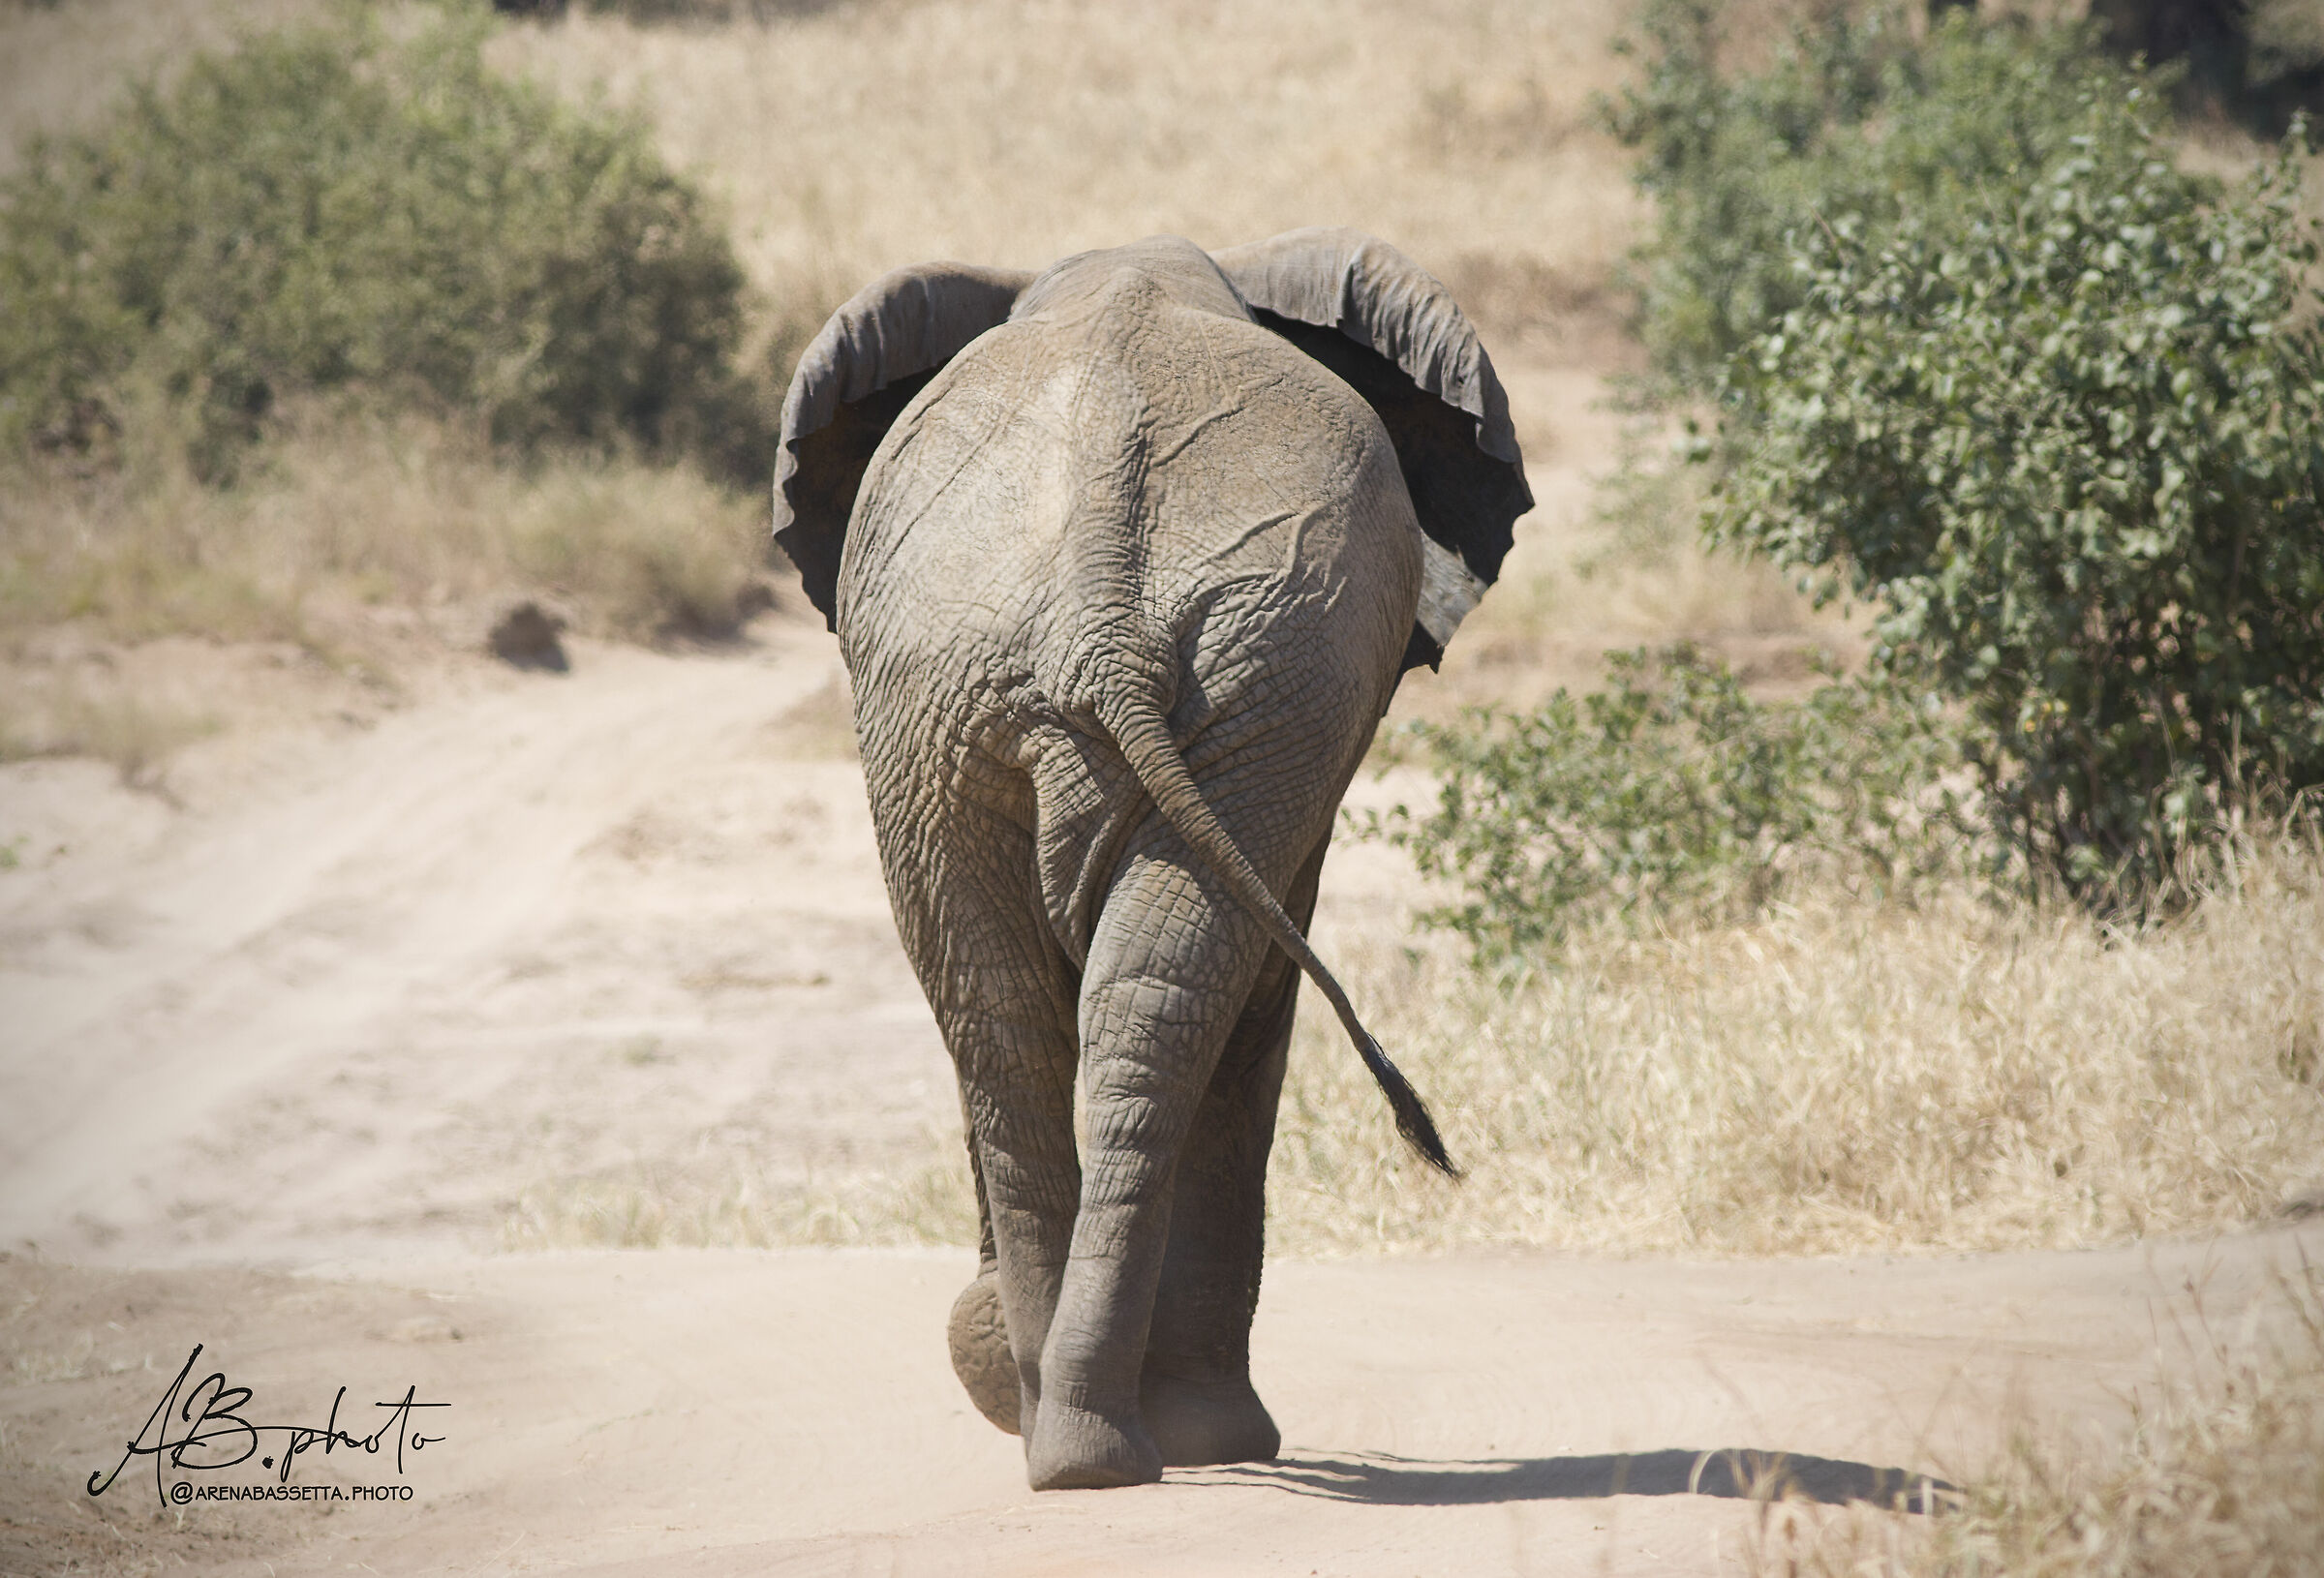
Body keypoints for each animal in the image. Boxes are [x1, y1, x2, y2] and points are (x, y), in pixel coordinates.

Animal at [771, 229, 1531, 1490]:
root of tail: (1099, 608)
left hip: (1117, 688)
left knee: (1057, 1014)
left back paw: (1081, 1439)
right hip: (1034, 692)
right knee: (1106, 1008)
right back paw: (1119, 1439)